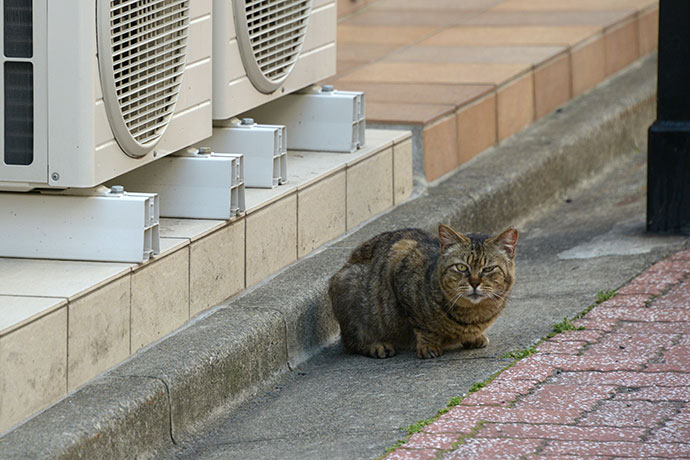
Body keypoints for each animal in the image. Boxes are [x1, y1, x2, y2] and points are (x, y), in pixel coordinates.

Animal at [328, 223, 516, 360]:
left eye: (488, 269)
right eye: (461, 267)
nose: (475, 283)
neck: (473, 315)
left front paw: (474, 337)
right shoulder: (400, 260)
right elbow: (423, 327)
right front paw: (429, 345)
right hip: (348, 288)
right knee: (352, 342)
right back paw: (376, 345)